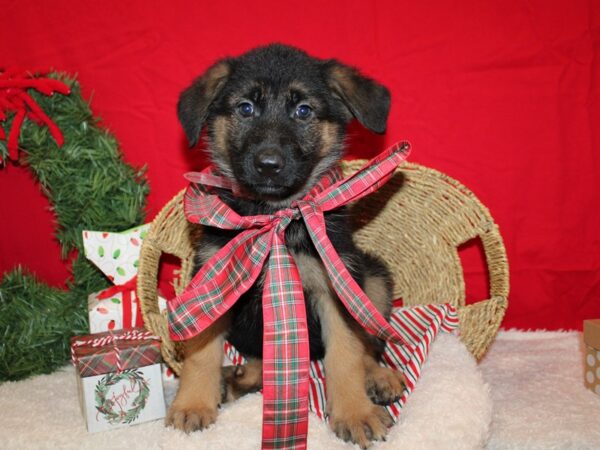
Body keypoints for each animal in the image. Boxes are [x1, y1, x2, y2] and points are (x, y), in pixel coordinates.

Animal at [166, 44, 406, 448]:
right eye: (246, 108)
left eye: (303, 110)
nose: (268, 165)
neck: (274, 217)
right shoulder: (213, 283)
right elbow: (201, 353)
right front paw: (193, 403)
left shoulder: (334, 285)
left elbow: (346, 353)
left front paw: (354, 412)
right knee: (262, 362)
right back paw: (234, 380)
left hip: (371, 278)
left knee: (367, 346)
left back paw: (379, 376)